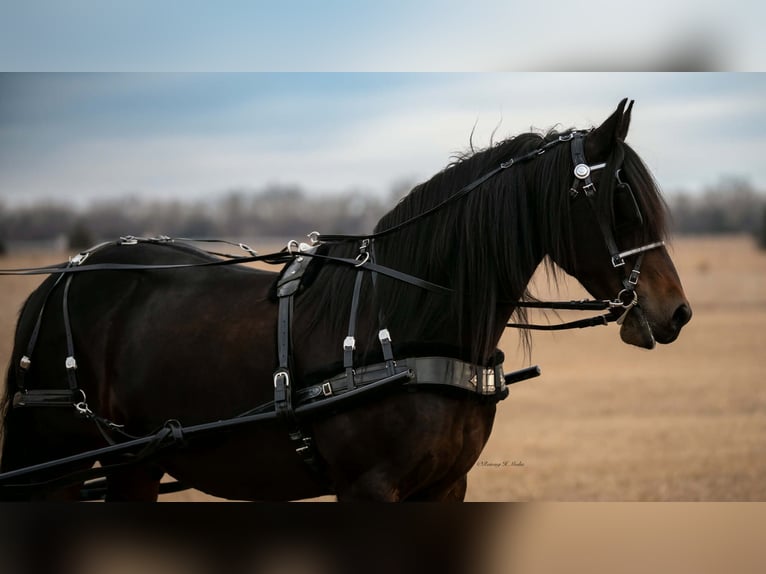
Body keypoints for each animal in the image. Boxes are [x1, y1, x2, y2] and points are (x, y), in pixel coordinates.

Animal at [0, 99, 691, 501]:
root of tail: (58, 279)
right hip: (52, 462)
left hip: (132, 467)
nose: (677, 311)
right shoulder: (368, 490)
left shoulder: (445, 488)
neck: (408, 321)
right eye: (621, 200)